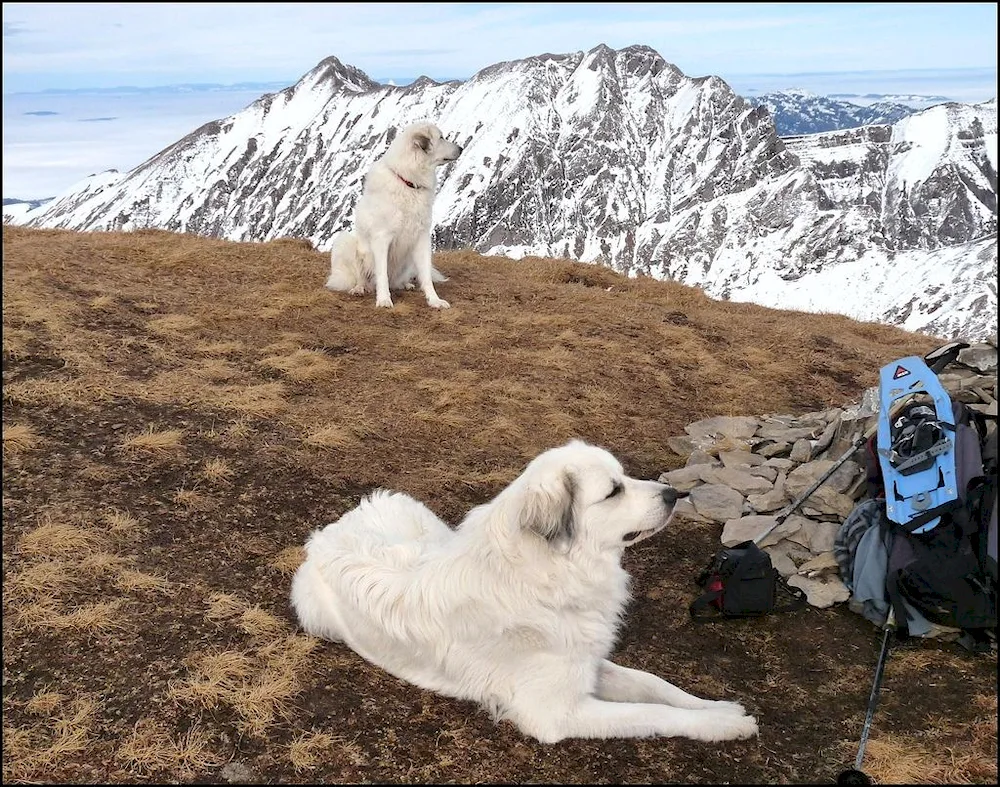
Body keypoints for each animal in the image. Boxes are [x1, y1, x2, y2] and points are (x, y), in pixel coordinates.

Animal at [290, 444, 756, 744]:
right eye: (613, 490)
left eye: (623, 477)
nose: (675, 494)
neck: (549, 574)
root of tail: (332, 527)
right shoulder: (556, 712)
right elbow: (653, 712)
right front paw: (723, 727)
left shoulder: (587, 663)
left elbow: (656, 685)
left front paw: (718, 707)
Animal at [324, 121, 460, 310]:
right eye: (441, 137)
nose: (461, 148)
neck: (408, 182)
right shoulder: (381, 239)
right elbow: (382, 275)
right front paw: (383, 300)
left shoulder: (421, 238)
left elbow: (426, 275)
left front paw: (434, 300)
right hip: (346, 242)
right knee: (362, 277)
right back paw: (359, 288)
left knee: (399, 280)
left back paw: (405, 284)